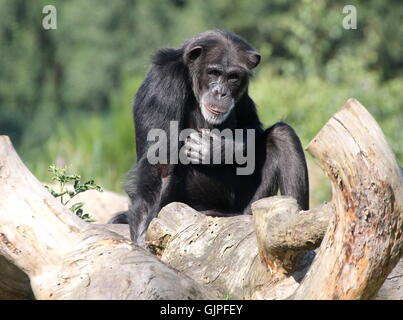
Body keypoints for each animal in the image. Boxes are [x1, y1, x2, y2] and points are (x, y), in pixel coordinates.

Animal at [112, 30, 310, 246]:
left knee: (282, 134)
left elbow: (253, 127)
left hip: (248, 207)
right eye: (214, 73)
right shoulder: (163, 83)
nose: (220, 92)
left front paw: (218, 150)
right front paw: (141, 239)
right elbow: (160, 166)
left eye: (233, 77)